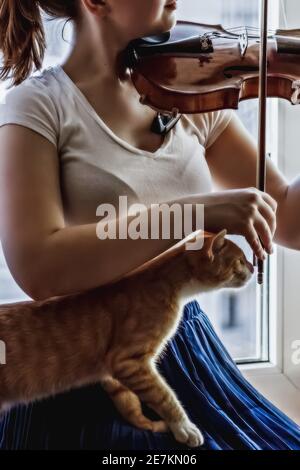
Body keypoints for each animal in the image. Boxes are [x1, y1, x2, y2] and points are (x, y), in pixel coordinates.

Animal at [0, 230, 253, 448]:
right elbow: (164, 395)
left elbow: (129, 402)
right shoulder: (128, 361)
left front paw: (148, 425)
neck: (168, 285)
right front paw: (184, 427)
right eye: (240, 260)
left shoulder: (113, 373)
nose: (253, 267)